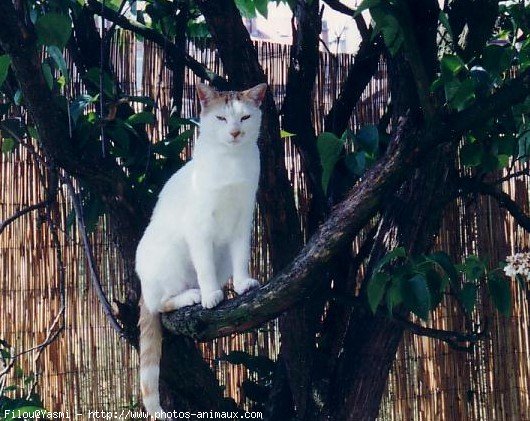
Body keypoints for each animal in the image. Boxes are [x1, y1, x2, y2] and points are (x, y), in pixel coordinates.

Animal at [134, 83, 266, 416]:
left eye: (245, 117)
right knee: (161, 304)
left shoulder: (244, 221)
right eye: (221, 118)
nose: (234, 132)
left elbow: (241, 257)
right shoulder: (199, 227)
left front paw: (243, 284)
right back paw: (193, 295)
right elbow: (204, 265)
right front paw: (209, 296)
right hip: (168, 256)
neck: (231, 163)